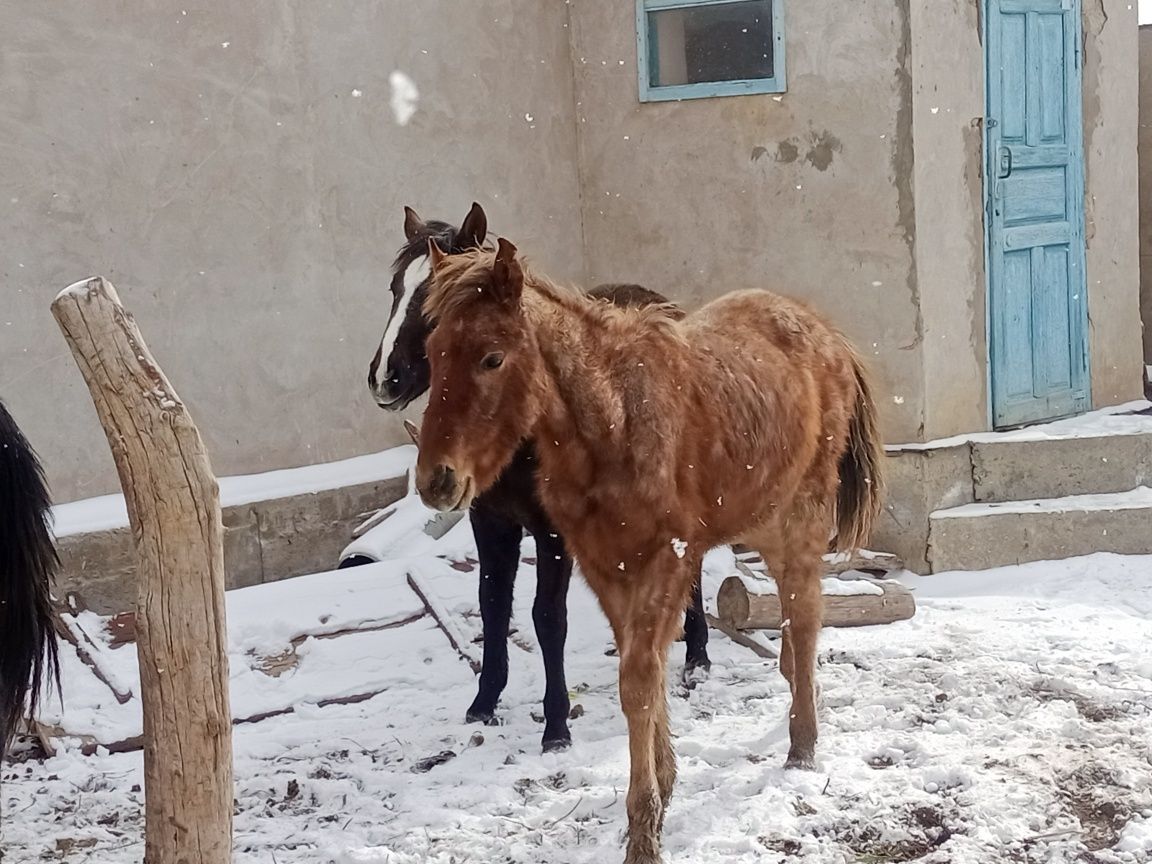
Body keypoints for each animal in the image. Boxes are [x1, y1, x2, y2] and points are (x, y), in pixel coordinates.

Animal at [368, 206, 709, 755]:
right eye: (396, 287)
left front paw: (556, 725)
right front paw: (484, 702)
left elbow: (548, 619)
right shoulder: (490, 522)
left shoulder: (553, 533)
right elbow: (492, 605)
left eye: (434, 299)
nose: (385, 378)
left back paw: (698, 656)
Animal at [412, 238, 880, 864]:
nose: (436, 480)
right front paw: (664, 788)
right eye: (434, 353)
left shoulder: (667, 559)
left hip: (801, 515)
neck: (615, 423)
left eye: (492, 358)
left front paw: (644, 834)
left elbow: (637, 681)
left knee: (804, 618)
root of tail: (825, 331)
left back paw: (802, 747)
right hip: (759, 519)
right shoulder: (603, 566)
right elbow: (647, 674)